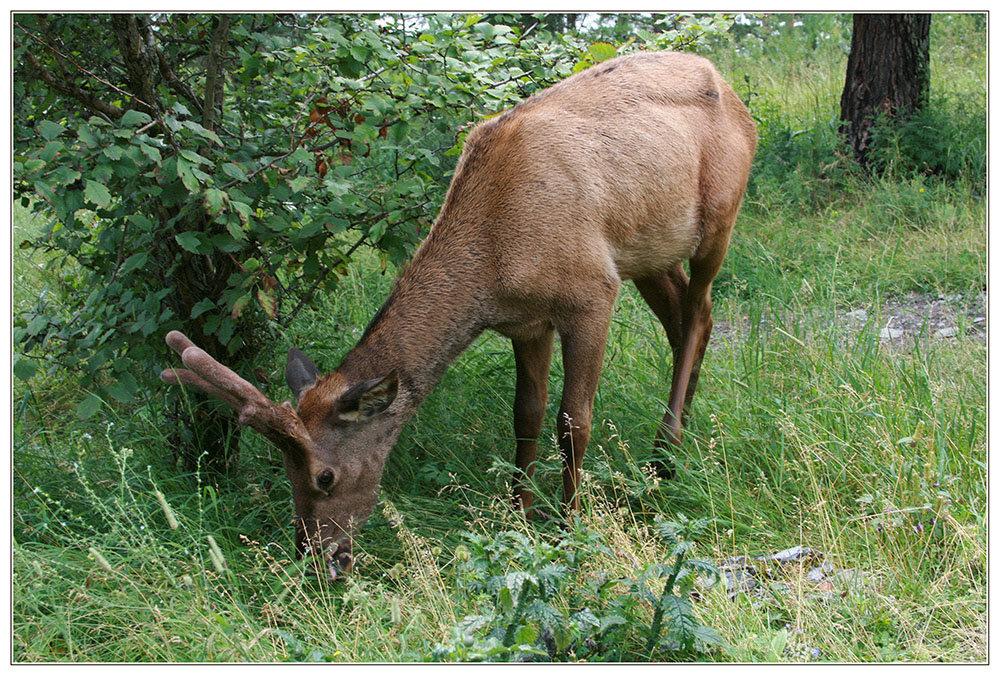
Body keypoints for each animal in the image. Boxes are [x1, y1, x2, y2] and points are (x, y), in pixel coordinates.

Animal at [162, 51, 756, 580]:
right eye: (285, 469)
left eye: (324, 476)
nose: (317, 560)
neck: (494, 266)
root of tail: (733, 93)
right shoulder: (527, 320)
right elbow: (526, 415)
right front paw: (520, 519)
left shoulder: (592, 291)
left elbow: (573, 420)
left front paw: (570, 530)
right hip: (649, 249)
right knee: (685, 316)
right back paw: (675, 436)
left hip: (720, 217)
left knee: (698, 313)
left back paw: (665, 454)